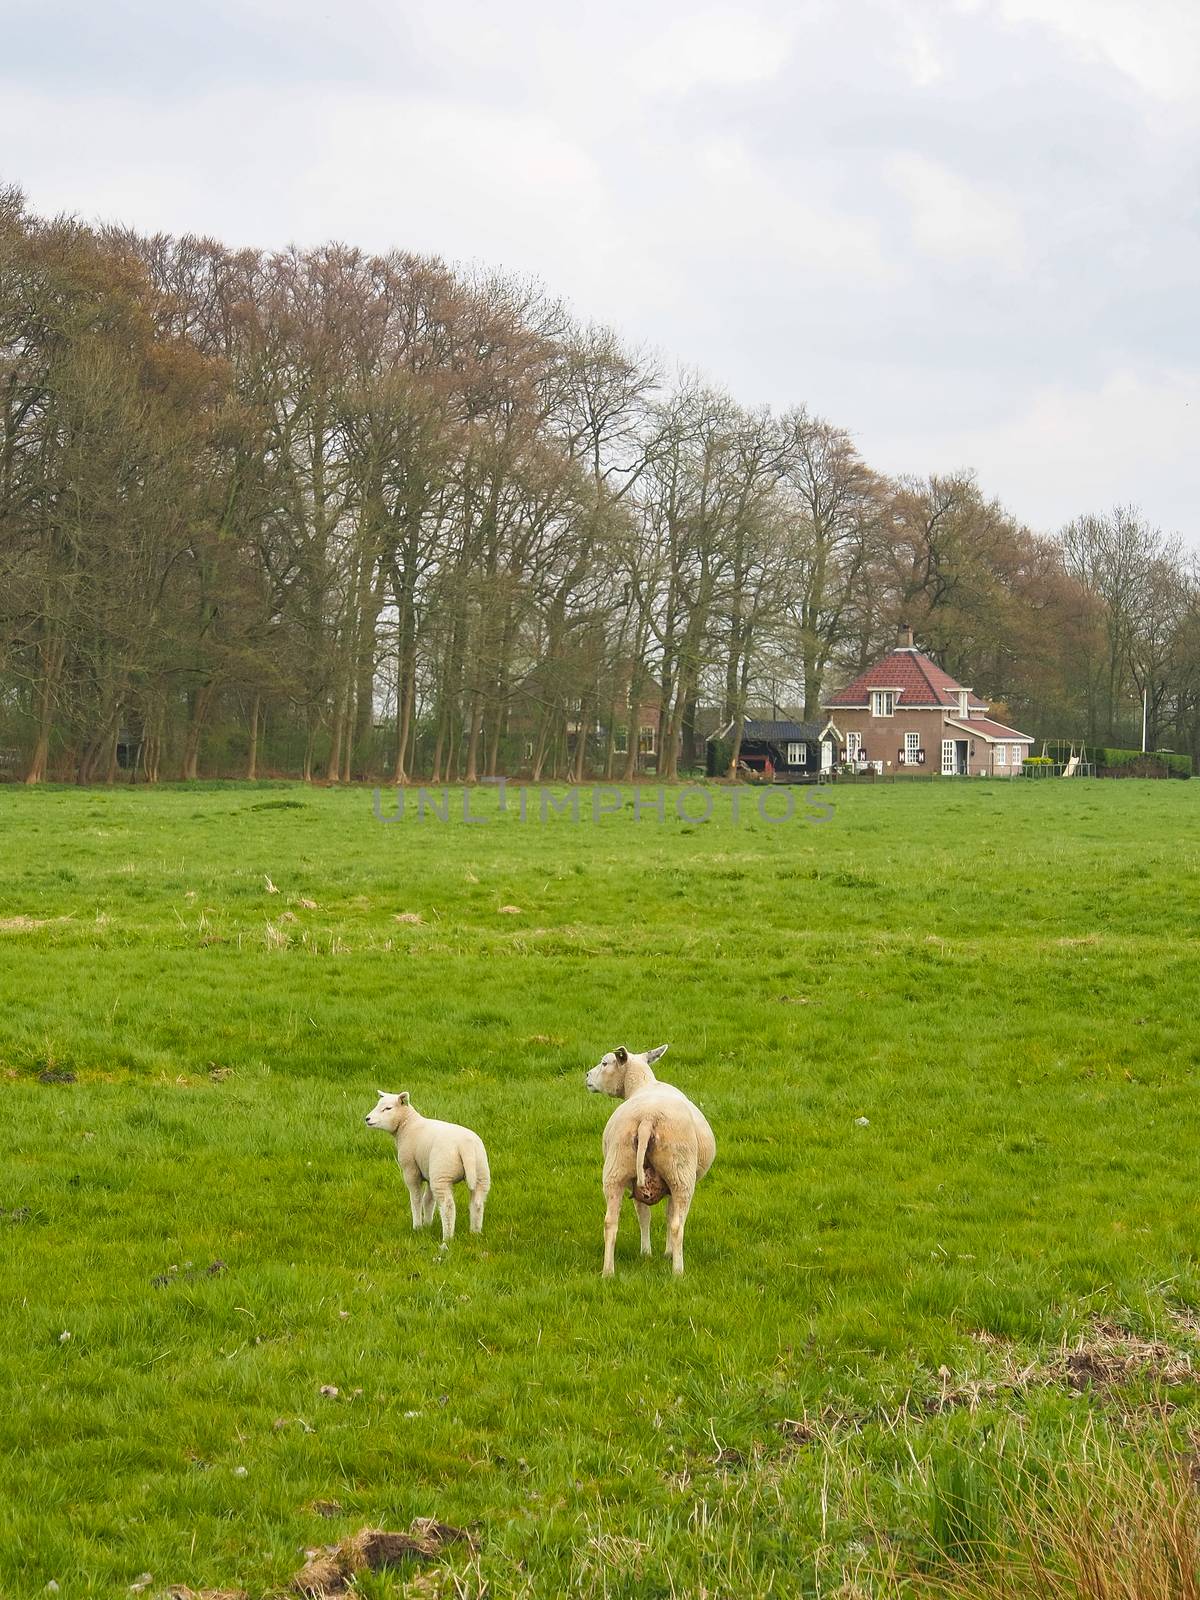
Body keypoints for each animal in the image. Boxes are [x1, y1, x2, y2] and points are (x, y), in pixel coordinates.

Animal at [369, 1094, 496, 1241]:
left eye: (388, 1108)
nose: (367, 1119)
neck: (408, 1125)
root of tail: (466, 1145)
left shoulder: (411, 1169)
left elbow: (416, 1199)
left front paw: (417, 1227)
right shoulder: (429, 1173)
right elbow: (428, 1200)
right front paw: (427, 1225)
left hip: (442, 1173)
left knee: (447, 1206)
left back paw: (447, 1237)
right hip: (480, 1172)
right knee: (477, 1202)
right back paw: (475, 1233)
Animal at [588, 1043, 720, 1280]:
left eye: (604, 1063)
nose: (587, 1076)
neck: (643, 1084)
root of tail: (648, 1118)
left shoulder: (635, 1183)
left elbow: (644, 1214)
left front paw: (646, 1253)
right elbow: (668, 1215)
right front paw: (667, 1253)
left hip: (616, 1167)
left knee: (610, 1222)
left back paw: (608, 1272)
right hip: (680, 1173)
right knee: (677, 1224)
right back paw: (678, 1272)